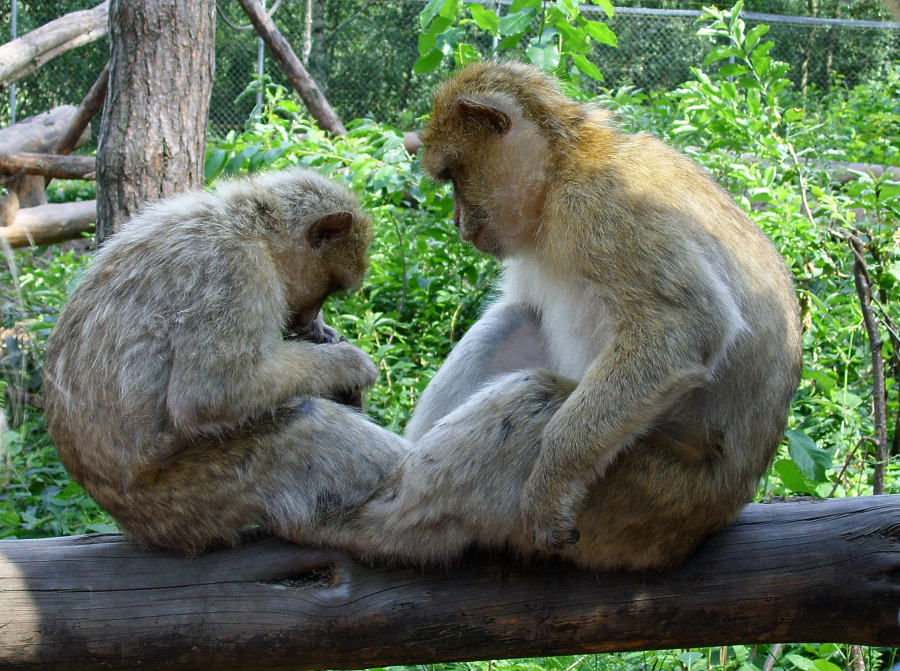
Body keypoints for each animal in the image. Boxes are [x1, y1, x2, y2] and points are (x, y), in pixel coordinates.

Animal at [41, 169, 408, 556]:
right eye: (326, 289)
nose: (310, 317)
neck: (250, 227)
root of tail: (134, 527)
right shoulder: (236, 268)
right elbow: (211, 392)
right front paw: (349, 364)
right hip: (188, 500)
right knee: (305, 422)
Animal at [332, 63, 800, 572]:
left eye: (455, 175)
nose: (457, 223)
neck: (562, 170)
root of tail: (709, 522)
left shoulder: (603, 205)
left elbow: (684, 326)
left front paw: (553, 478)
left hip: (642, 500)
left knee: (531, 399)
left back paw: (370, 527)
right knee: (514, 320)